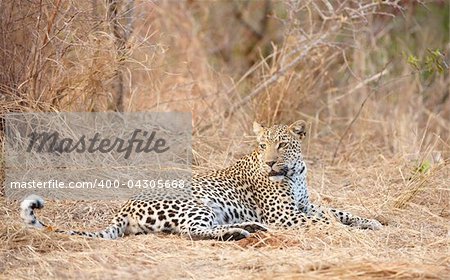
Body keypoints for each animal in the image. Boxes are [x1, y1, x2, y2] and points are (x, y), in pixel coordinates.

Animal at [19, 120, 382, 241]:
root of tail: (123, 207)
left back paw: (249, 229)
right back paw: (241, 232)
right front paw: (349, 232)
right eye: (262, 145)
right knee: (192, 232)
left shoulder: (304, 205)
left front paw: (371, 222)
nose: (269, 162)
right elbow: (324, 221)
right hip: (196, 205)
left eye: (281, 144)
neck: (294, 172)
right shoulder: (286, 215)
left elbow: (337, 211)